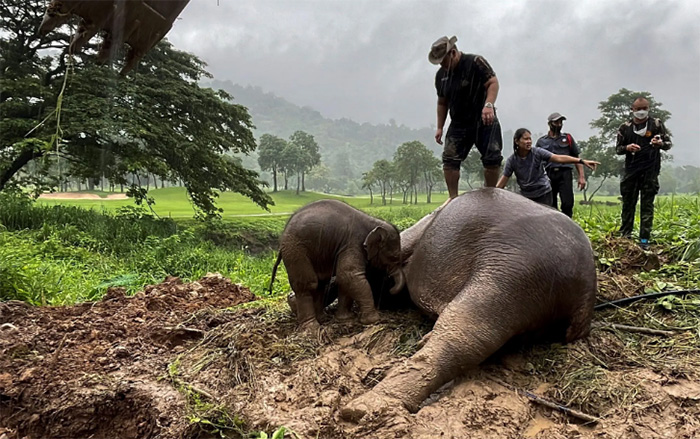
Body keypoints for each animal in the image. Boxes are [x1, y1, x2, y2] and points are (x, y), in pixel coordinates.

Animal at [272, 201, 408, 332]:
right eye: (394, 257)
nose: (391, 290)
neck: (373, 222)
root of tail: (282, 238)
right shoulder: (353, 243)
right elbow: (349, 275)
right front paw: (373, 320)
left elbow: (343, 279)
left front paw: (345, 319)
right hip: (295, 250)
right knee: (307, 284)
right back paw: (312, 328)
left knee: (321, 283)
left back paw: (323, 319)